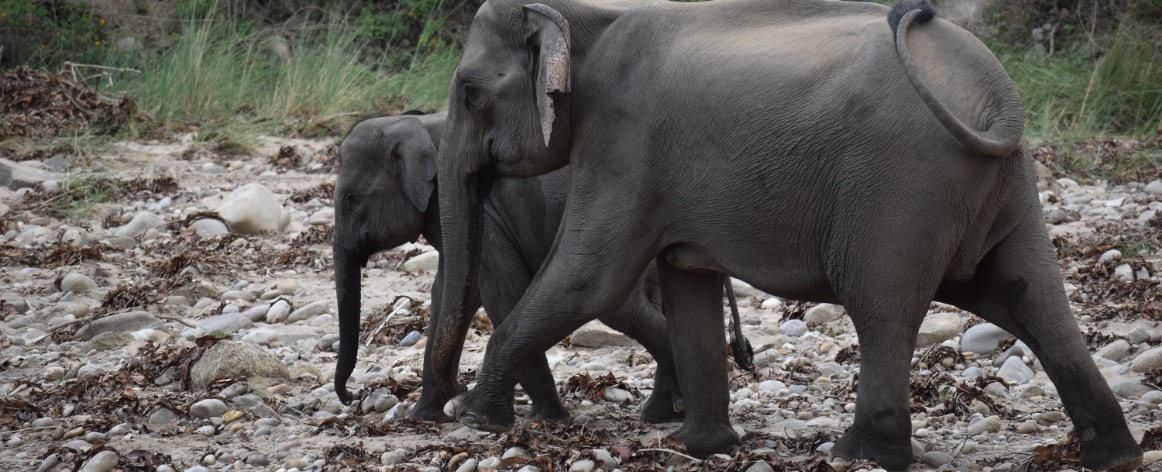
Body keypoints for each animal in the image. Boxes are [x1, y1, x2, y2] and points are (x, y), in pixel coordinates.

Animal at [334, 112, 752, 423]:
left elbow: (501, 294)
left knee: (625, 309)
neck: (416, 124)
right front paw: (424, 418)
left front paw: (542, 419)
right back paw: (664, 413)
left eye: (353, 199)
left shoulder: (487, 215)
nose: (351, 395)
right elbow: (449, 297)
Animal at [434, 0, 1134, 467]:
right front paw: (699, 447)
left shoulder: (621, 142)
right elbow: (684, 282)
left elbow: (589, 278)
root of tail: (994, 85)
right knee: (1032, 298)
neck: (582, 16)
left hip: (902, 184)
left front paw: (474, 419)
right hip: (1004, 182)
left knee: (883, 306)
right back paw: (1115, 453)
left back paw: (861, 454)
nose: (435, 407)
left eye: (469, 92)